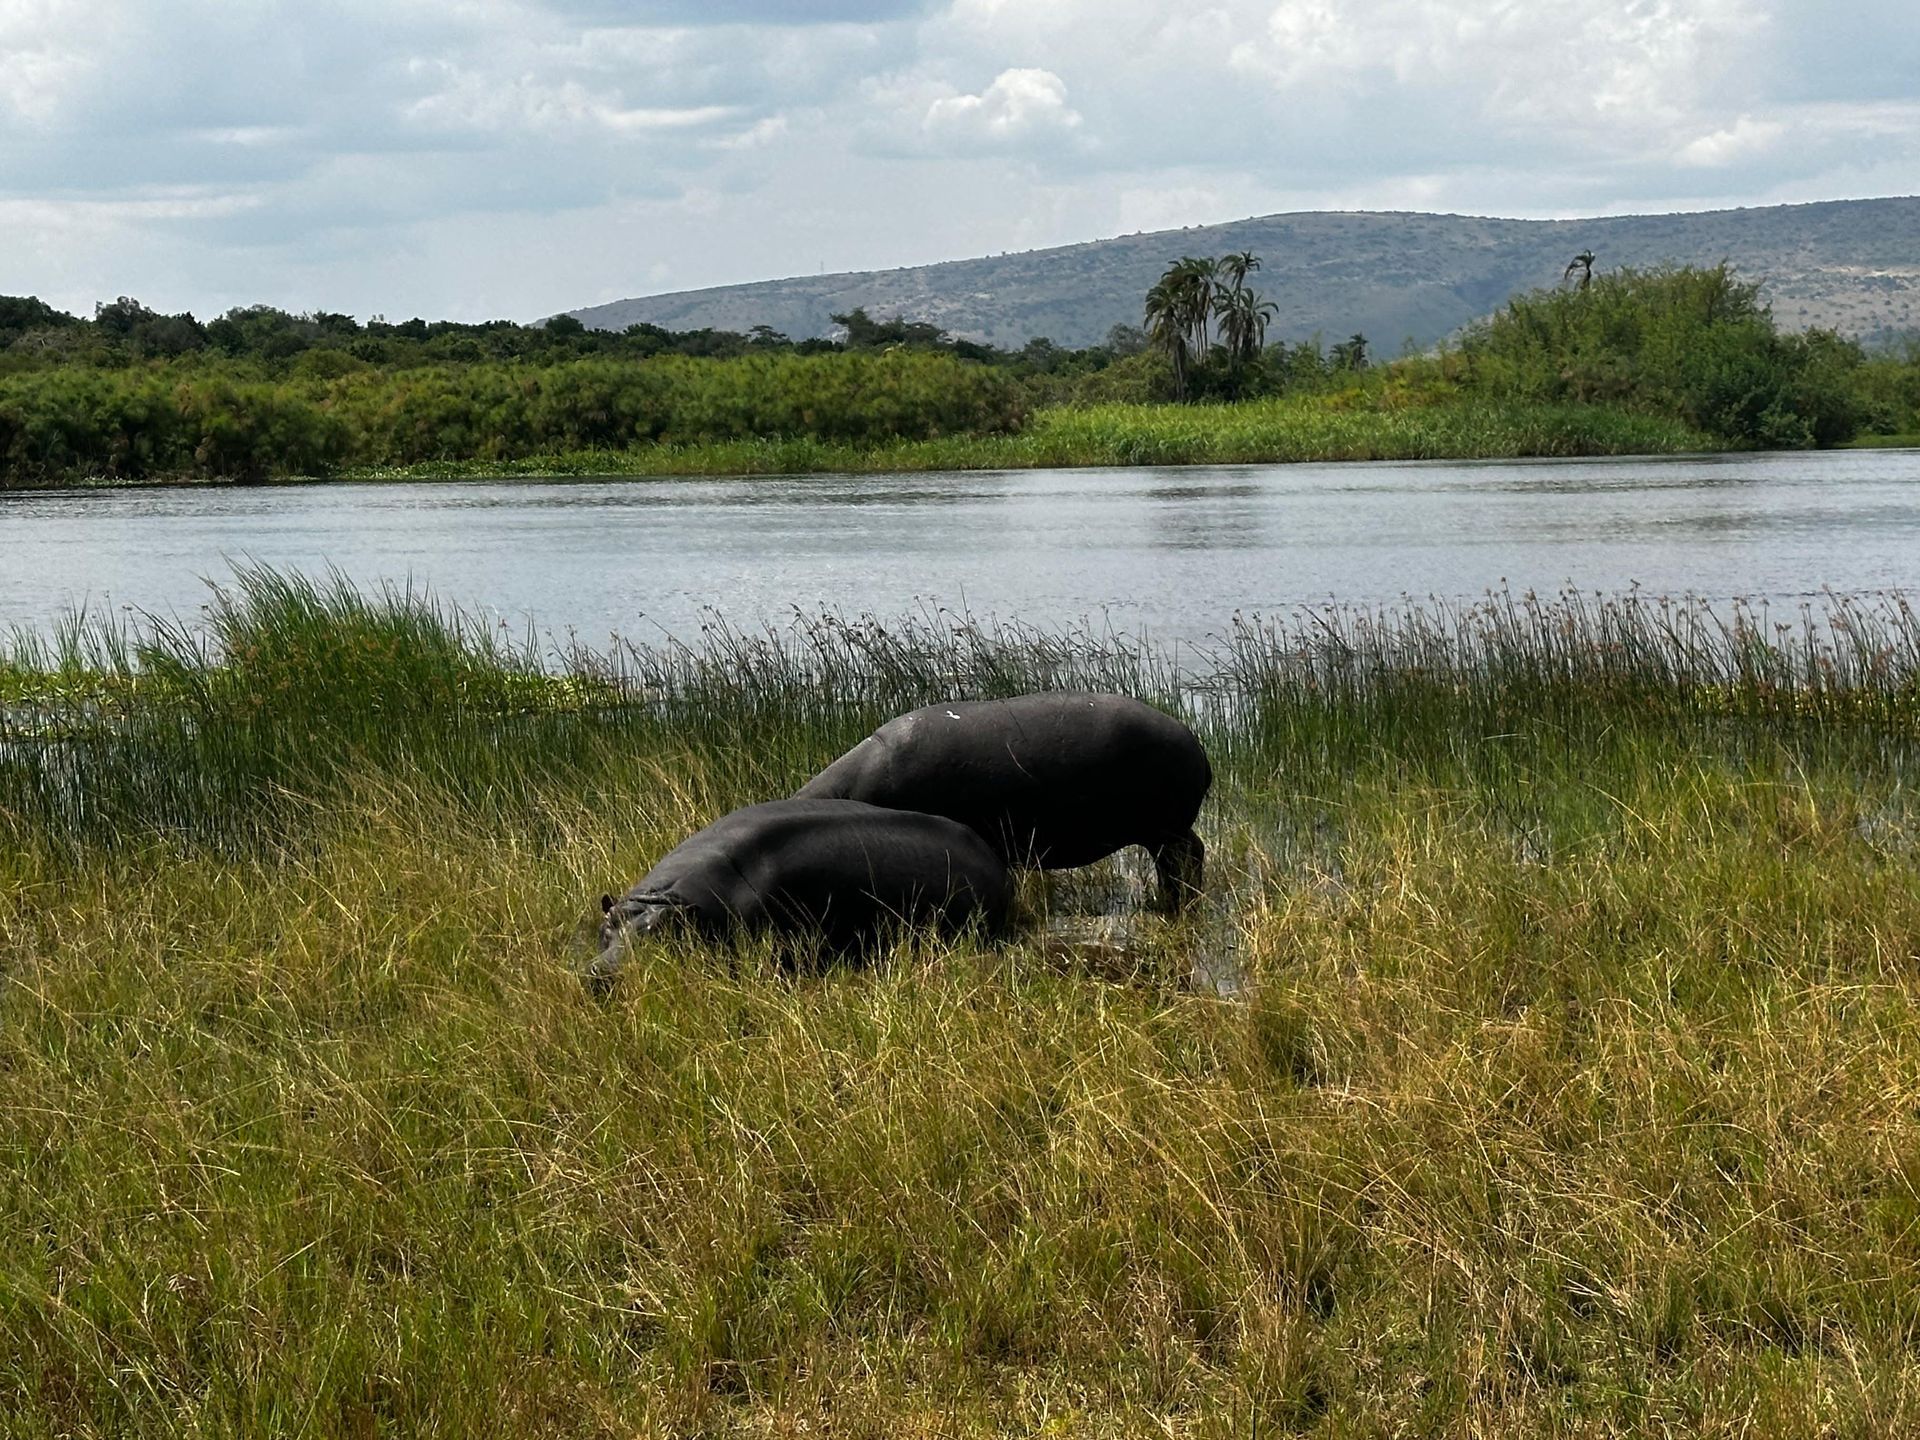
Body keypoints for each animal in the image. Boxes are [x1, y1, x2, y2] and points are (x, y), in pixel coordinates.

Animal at [796, 692, 1211, 910]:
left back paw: (1174, 904)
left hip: (1166, 829)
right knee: (1188, 855)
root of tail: (1196, 745)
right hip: (1165, 830)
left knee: (1185, 859)